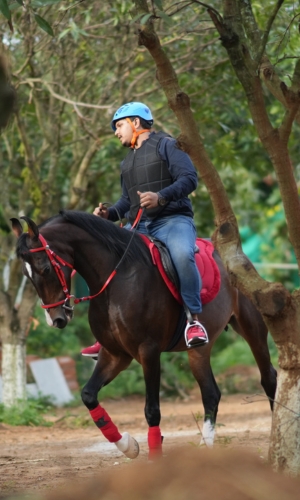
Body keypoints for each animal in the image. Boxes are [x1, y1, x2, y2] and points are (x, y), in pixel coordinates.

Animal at [11, 211, 276, 460]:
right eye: (26, 275)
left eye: (45, 268)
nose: (56, 319)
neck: (117, 279)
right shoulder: (115, 354)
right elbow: (88, 395)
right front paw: (128, 446)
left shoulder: (148, 352)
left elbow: (152, 410)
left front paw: (154, 455)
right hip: (199, 350)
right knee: (211, 393)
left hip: (252, 328)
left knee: (268, 378)